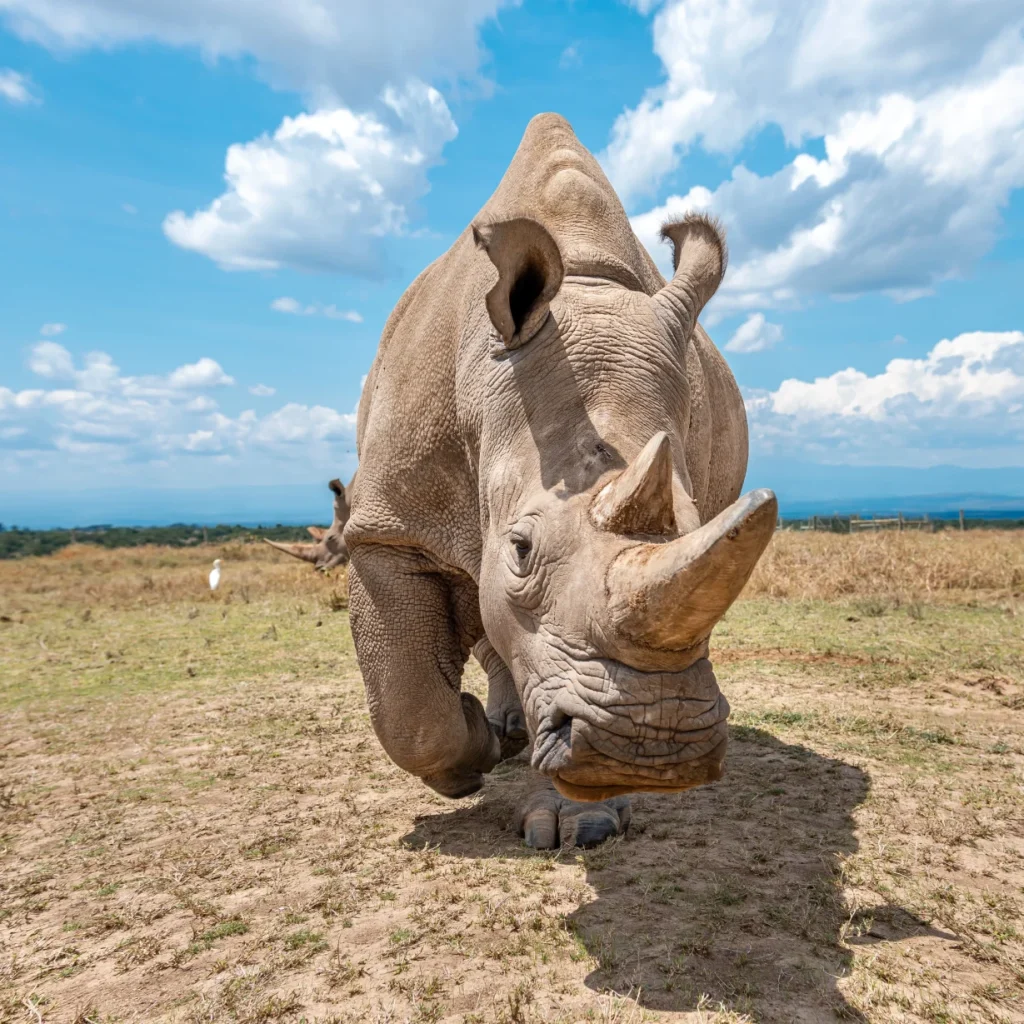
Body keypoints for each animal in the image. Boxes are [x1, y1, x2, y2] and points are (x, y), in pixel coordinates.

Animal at [343, 114, 777, 848]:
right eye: (519, 549)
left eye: (705, 520)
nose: (652, 746)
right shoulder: (389, 528)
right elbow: (408, 705)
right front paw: (466, 762)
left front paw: (583, 820)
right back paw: (504, 735)